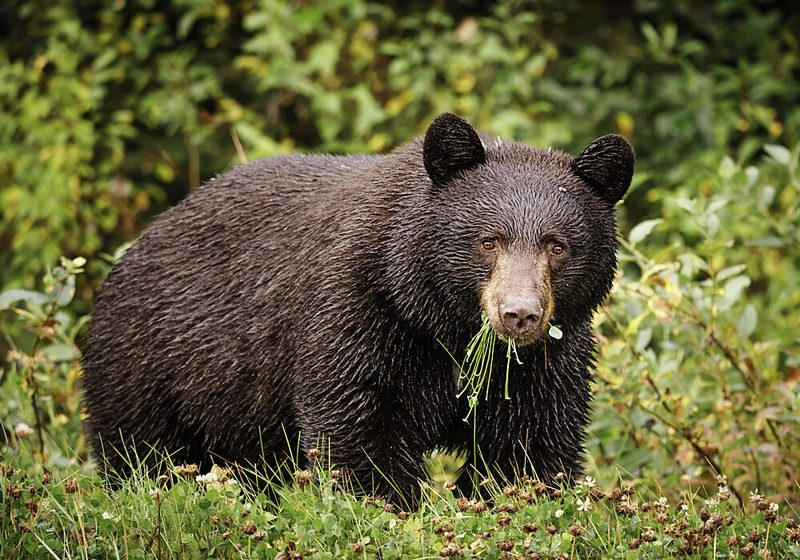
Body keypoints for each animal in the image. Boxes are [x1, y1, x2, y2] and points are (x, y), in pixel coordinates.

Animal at [82, 113, 633, 507]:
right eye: (488, 241)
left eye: (557, 245)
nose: (519, 314)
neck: (442, 322)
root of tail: (133, 249)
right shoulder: (360, 311)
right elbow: (359, 427)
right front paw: (388, 510)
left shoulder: (546, 362)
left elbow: (530, 446)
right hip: (149, 368)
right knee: (138, 455)